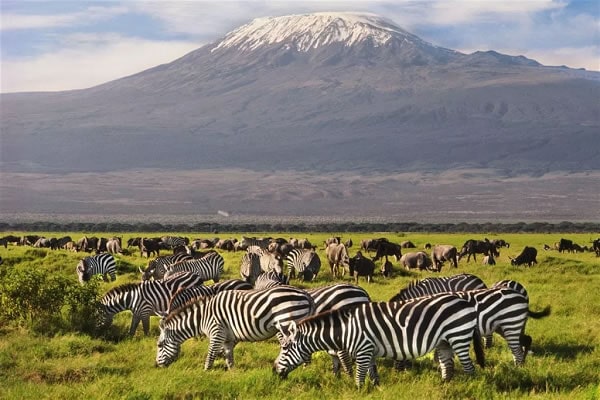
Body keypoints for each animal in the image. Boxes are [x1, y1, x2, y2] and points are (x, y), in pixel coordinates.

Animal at [156, 286, 314, 370]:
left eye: (159, 345)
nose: (157, 365)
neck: (202, 317)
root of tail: (304, 293)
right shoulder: (227, 338)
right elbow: (228, 355)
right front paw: (232, 373)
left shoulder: (216, 331)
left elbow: (211, 354)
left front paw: (205, 373)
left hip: (288, 322)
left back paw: (304, 371)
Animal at [274, 294, 486, 388]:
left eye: (285, 348)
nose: (274, 371)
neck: (346, 329)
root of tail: (465, 301)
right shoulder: (370, 350)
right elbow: (372, 371)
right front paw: (376, 388)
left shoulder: (363, 348)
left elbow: (359, 375)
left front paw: (358, 391)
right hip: (444, 341)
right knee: (447, 366)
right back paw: (444, 386)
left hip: (458, 336)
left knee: (469, 368)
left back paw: (471, 386)